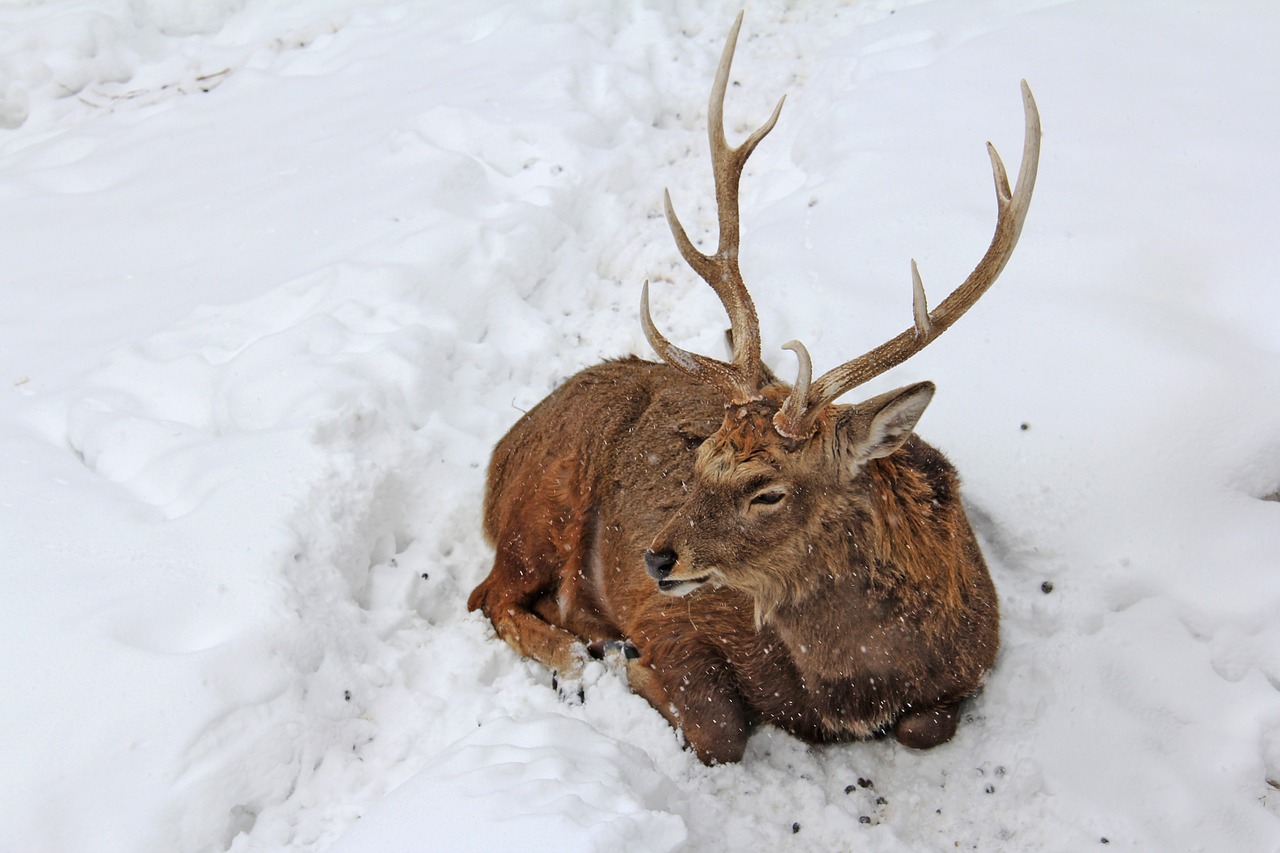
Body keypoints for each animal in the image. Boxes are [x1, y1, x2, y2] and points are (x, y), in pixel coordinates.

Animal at [471, 11, 1039, 758]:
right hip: (544, 501)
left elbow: (925, 725)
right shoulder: (678, 619)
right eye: (700, 456)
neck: (857, 683)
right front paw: (629, 666)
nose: (655, 556)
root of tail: (500, 452)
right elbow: (721, 726)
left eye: (768, 489)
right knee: (488, 595)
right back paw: (577, 654)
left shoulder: (977, 660)